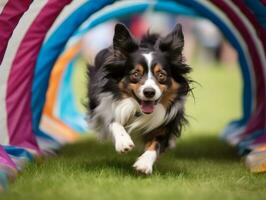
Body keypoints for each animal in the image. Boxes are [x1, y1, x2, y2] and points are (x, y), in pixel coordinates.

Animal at [87, 22, 191, 174]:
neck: (138, 110)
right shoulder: (104, 105)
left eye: (161, 75)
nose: (149, 92)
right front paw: (123, 142)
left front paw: (144, 163)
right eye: (135, 74)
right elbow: (113, 121)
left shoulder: (165, 124)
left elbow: (156, 144)